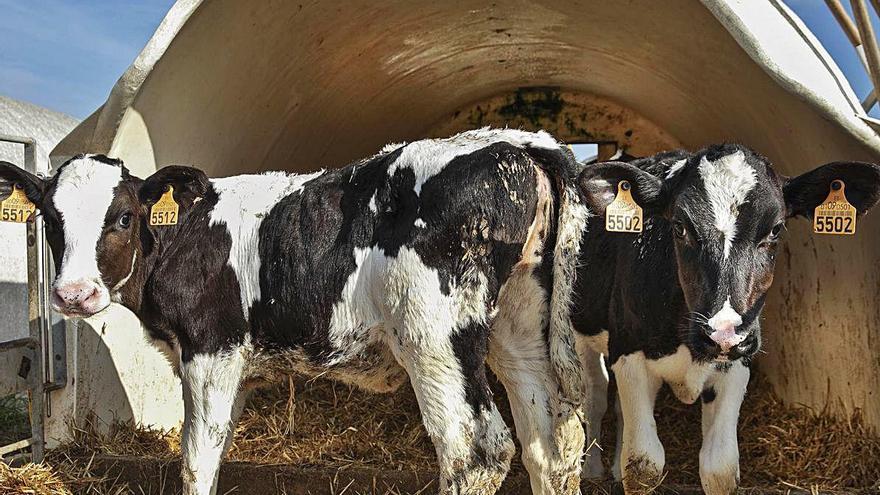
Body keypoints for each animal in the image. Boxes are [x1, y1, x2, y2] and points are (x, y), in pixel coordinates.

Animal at [1, 129, 592, 495]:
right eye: (50, 220)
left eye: (123, 216)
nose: (73, 294)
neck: (186, 234)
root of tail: (512, 140)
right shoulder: (233, 369)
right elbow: (216, 451)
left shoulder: (210, 352)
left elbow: (195, 460)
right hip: (519, 328)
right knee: (552, 442)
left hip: (435, 337)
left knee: (475, 451)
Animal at [572, 145, 880, 494]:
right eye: (680, 226)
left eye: (775, 229)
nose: (724, 335)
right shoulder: (629, 354)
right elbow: (643, 464)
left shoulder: (735, 364)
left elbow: (719, 467)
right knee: (596, 395)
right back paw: (592, 469)